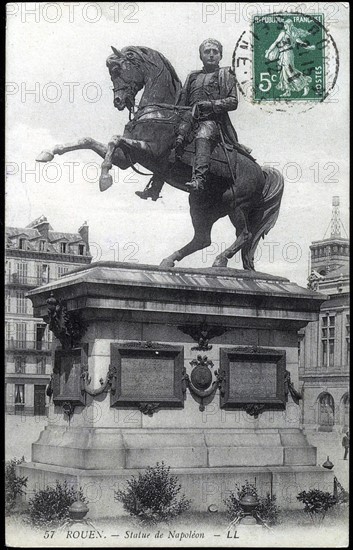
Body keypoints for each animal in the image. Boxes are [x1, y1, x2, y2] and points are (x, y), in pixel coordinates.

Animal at [36, 46, 284, 270]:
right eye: (112, 72)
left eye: (118, 69)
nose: (118, 101)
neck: (157, 112)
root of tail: (261, 172)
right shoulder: (126, 158)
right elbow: (89, 140)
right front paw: (48, 152)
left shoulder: (151, 151)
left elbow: (113, 140)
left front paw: (104, 179)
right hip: (200, 205)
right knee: (203, 238)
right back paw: (168, 260)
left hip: (236, 203)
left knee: (244, 234)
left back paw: (219, 260)